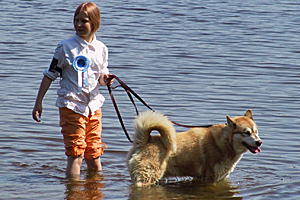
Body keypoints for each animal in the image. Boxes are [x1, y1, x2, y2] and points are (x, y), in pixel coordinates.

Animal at [125, 109, 262, 186]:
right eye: (246, 132)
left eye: (256, 131)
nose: (259, 142)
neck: (223, 142)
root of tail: (144, 141)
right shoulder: (210, 179)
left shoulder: (218, 177)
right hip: (146, 177)